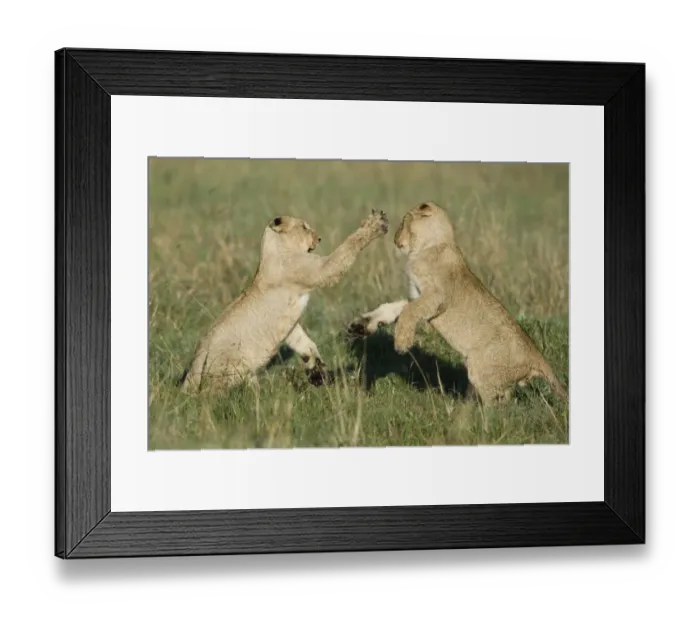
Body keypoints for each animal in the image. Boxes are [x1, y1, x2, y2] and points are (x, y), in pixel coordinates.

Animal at [180, 210, 389, 393]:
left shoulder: (290, 323)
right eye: (304, 227)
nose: (319, 238)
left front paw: (318, 374)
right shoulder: (315, 269)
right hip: (227, 368)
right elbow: (343, 252)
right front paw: (376, 223)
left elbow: (304, 342)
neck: (274, 249)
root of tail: (196, 358)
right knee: (210, 393)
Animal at [347, 201, 568, 407]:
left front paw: (401, 344)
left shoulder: (436, 296)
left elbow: (409, 311)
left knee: (499, 406)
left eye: (403, 222)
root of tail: (535, 355)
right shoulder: (417, 295)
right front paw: (362, 325)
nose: (394, 239)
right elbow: (396, 308)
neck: (435, 243)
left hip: (482, 370)